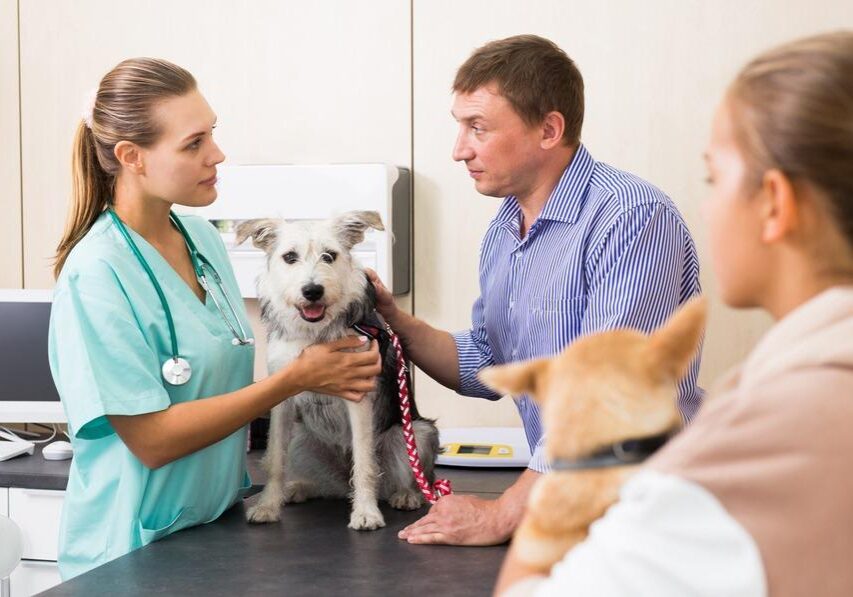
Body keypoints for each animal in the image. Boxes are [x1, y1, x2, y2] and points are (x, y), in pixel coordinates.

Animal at [236, 212, 440, 528]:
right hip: (301, 438)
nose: (312, 290)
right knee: (323, 485)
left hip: (416, 433)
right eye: (290, 257)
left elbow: (365, 462)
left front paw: (366, 512)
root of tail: (343, 479)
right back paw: (298, 488)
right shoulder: (281, 401)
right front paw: (268, 505)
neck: (314, 334)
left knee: (410, 476)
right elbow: (274, 460)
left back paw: (407, 495)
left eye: (329, 256)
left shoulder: (359, 398)